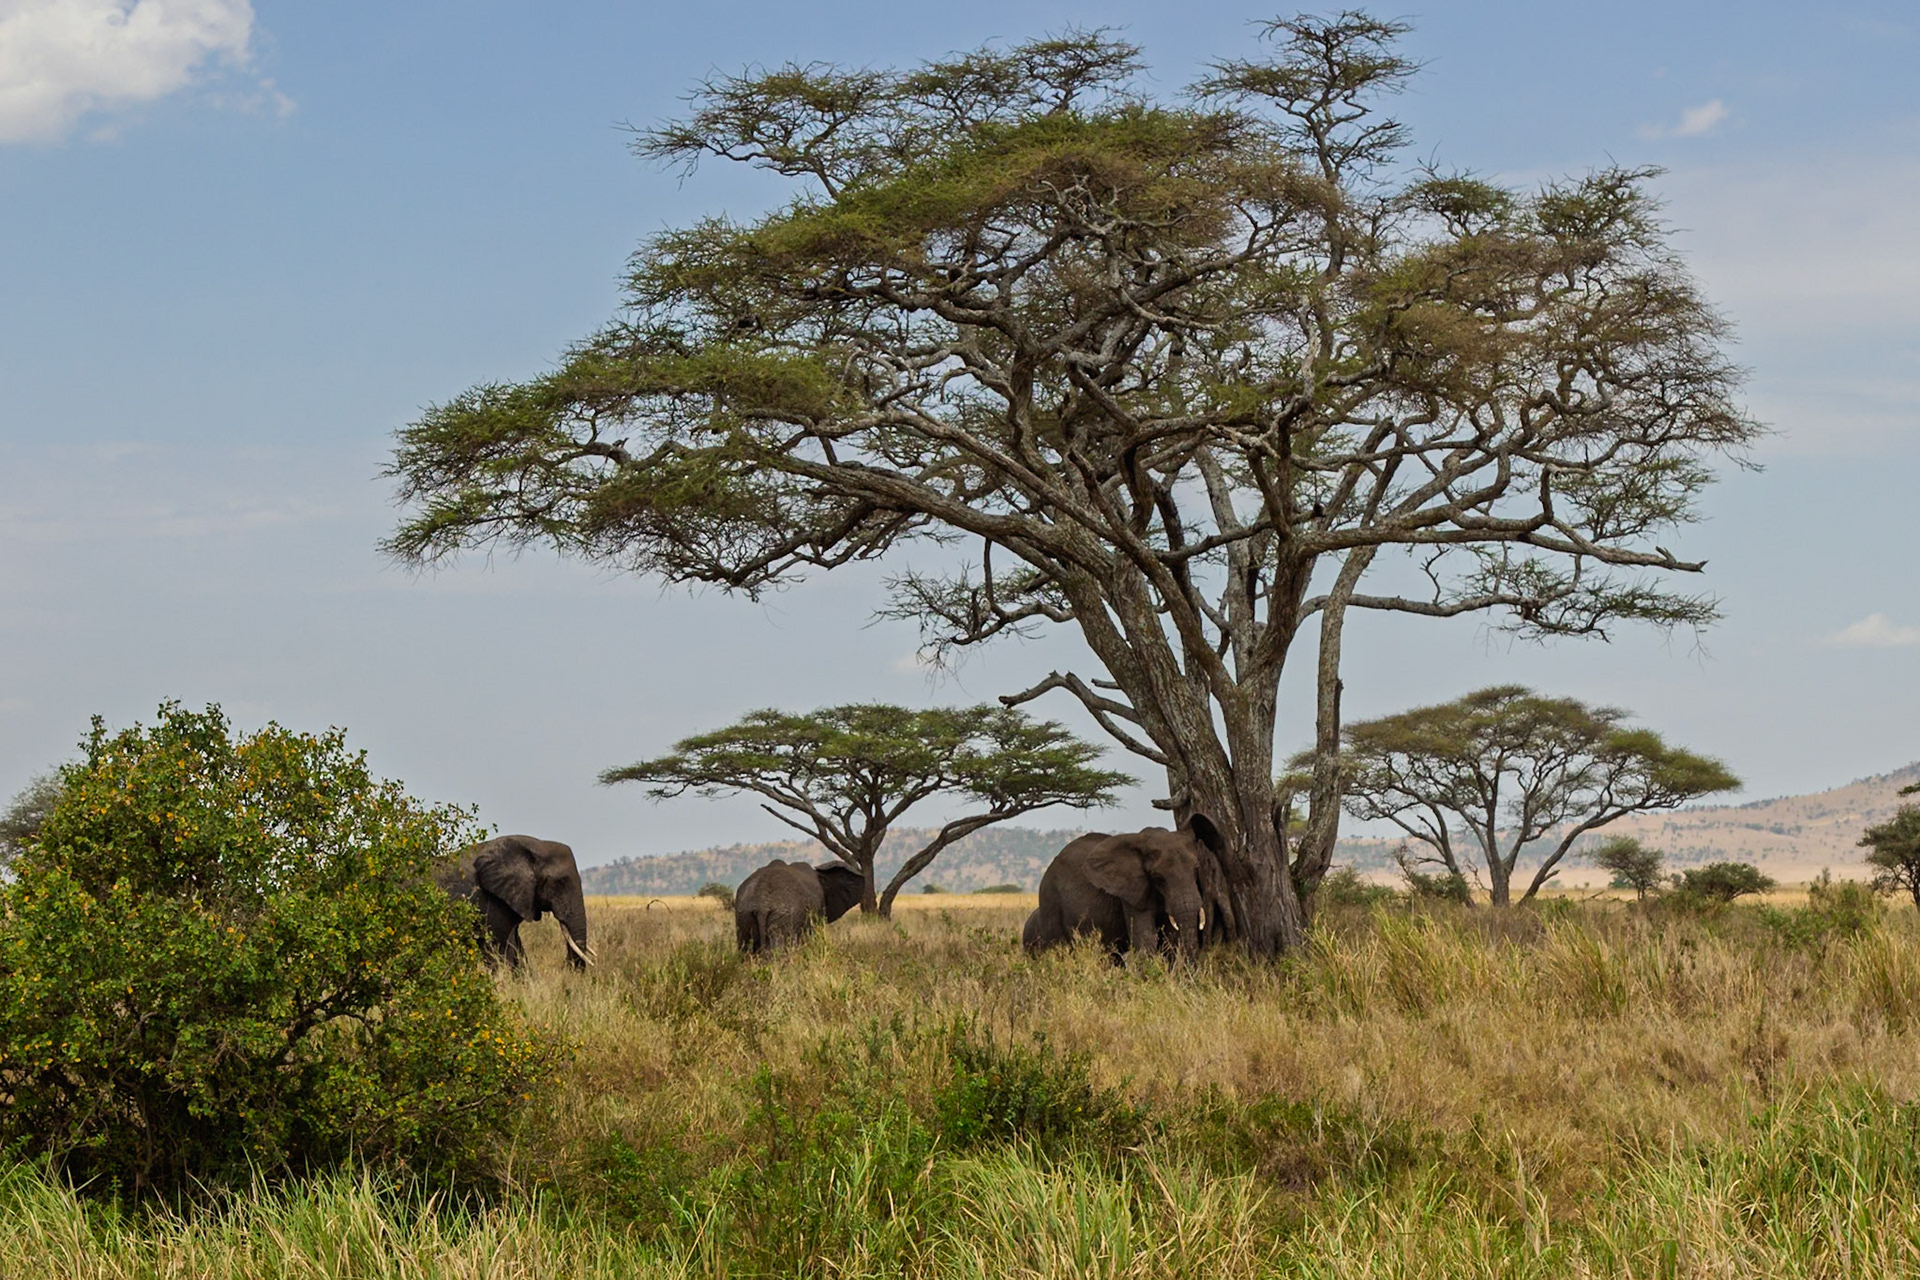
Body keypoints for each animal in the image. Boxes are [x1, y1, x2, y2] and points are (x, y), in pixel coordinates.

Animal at [1021, 815, 1236, 962]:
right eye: (1157, 877)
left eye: (1196, 869)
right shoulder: (1131, 890)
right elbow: (1146, 940)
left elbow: (1168, 939)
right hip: (1050, 902)